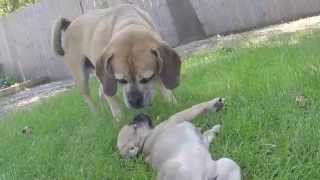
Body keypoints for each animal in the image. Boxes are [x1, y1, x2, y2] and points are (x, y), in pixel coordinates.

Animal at [51, 4, 181, 119]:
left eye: (146, 78)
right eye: (121, 80)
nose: (134, 101)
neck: (129, 22)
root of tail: (69, 24)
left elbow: (164, 86)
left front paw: (172, 103)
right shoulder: (106, 75)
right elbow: (111, 97)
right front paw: (119, 118)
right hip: (81, 77)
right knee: (89, 97)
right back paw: (97, 114)